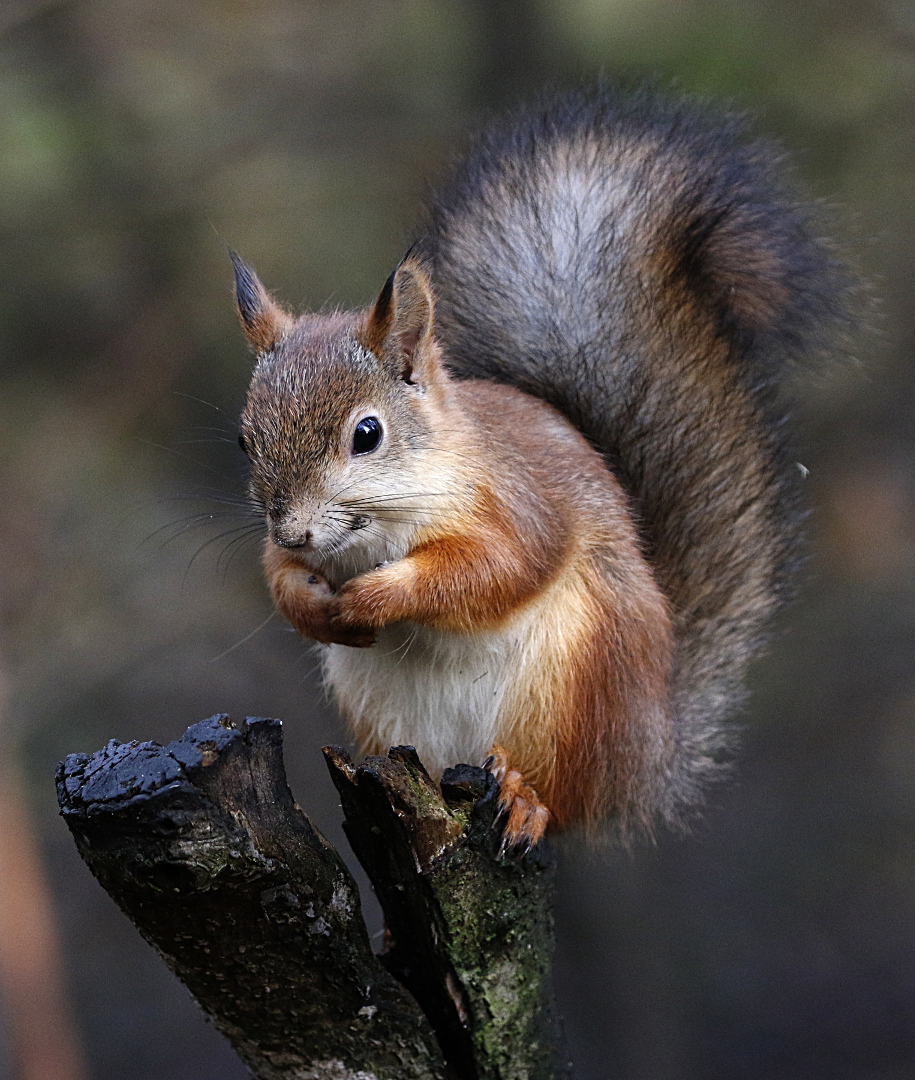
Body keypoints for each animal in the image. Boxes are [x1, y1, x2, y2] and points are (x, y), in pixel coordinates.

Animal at [233, 86, 843, 847]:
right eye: (244, 441)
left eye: (366, 434)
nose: (294, 532)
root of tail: (648, 761)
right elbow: (278, 577)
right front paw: (310, 602)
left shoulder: (519, 500)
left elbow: (498, 567)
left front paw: (377, 596)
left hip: (578, 685)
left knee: (563, 798)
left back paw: (526, 798)